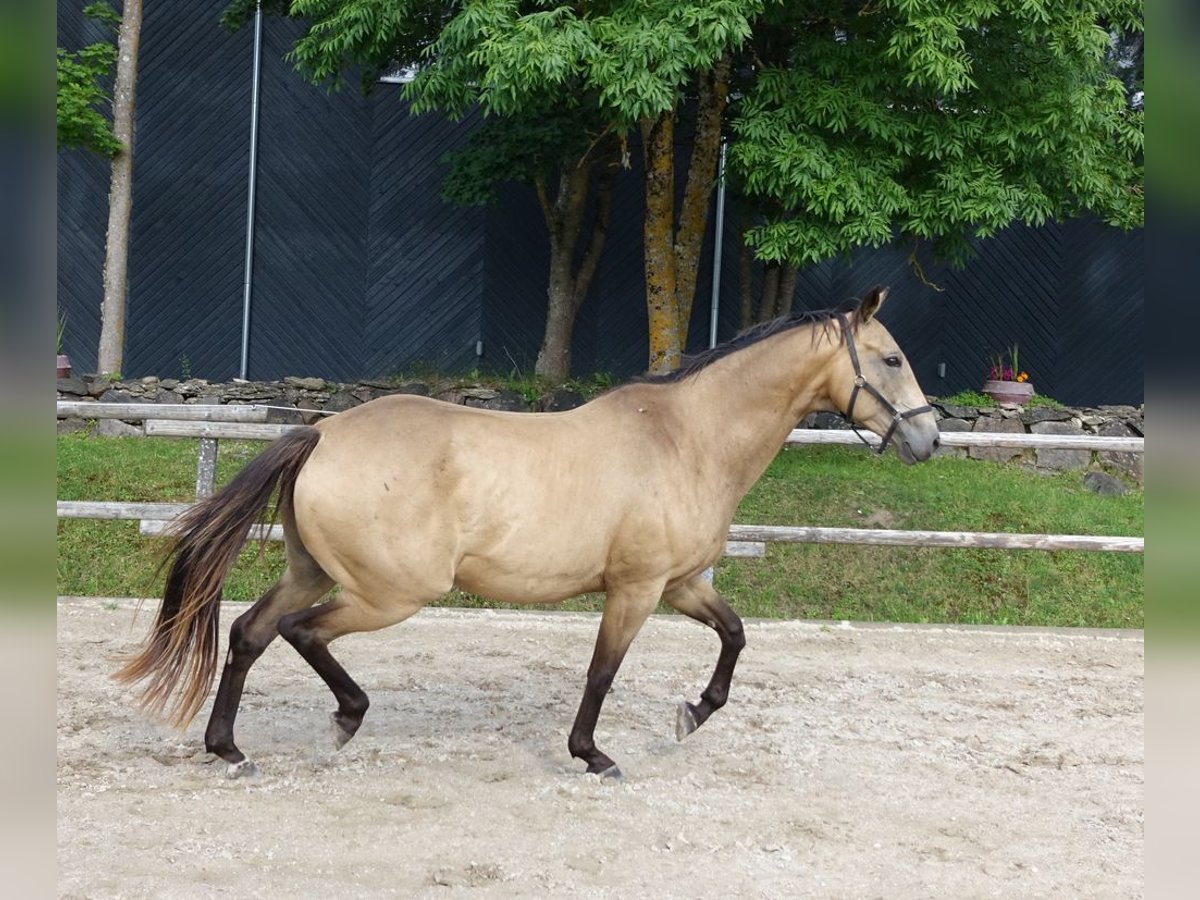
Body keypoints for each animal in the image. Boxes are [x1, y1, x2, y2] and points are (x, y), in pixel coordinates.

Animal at [114, 285, 936, 777]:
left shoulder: (682, 584)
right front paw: (593, 755)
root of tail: (321, 434)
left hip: (313, 570)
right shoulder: (636, 589)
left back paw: (229, 748)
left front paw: (692, 714)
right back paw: (345, 719)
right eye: (893, 358)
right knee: (300, 633)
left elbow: (735, 636)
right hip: (390, 593)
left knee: (249, 632)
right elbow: (602, 673)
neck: (684, 437)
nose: (927, 440)